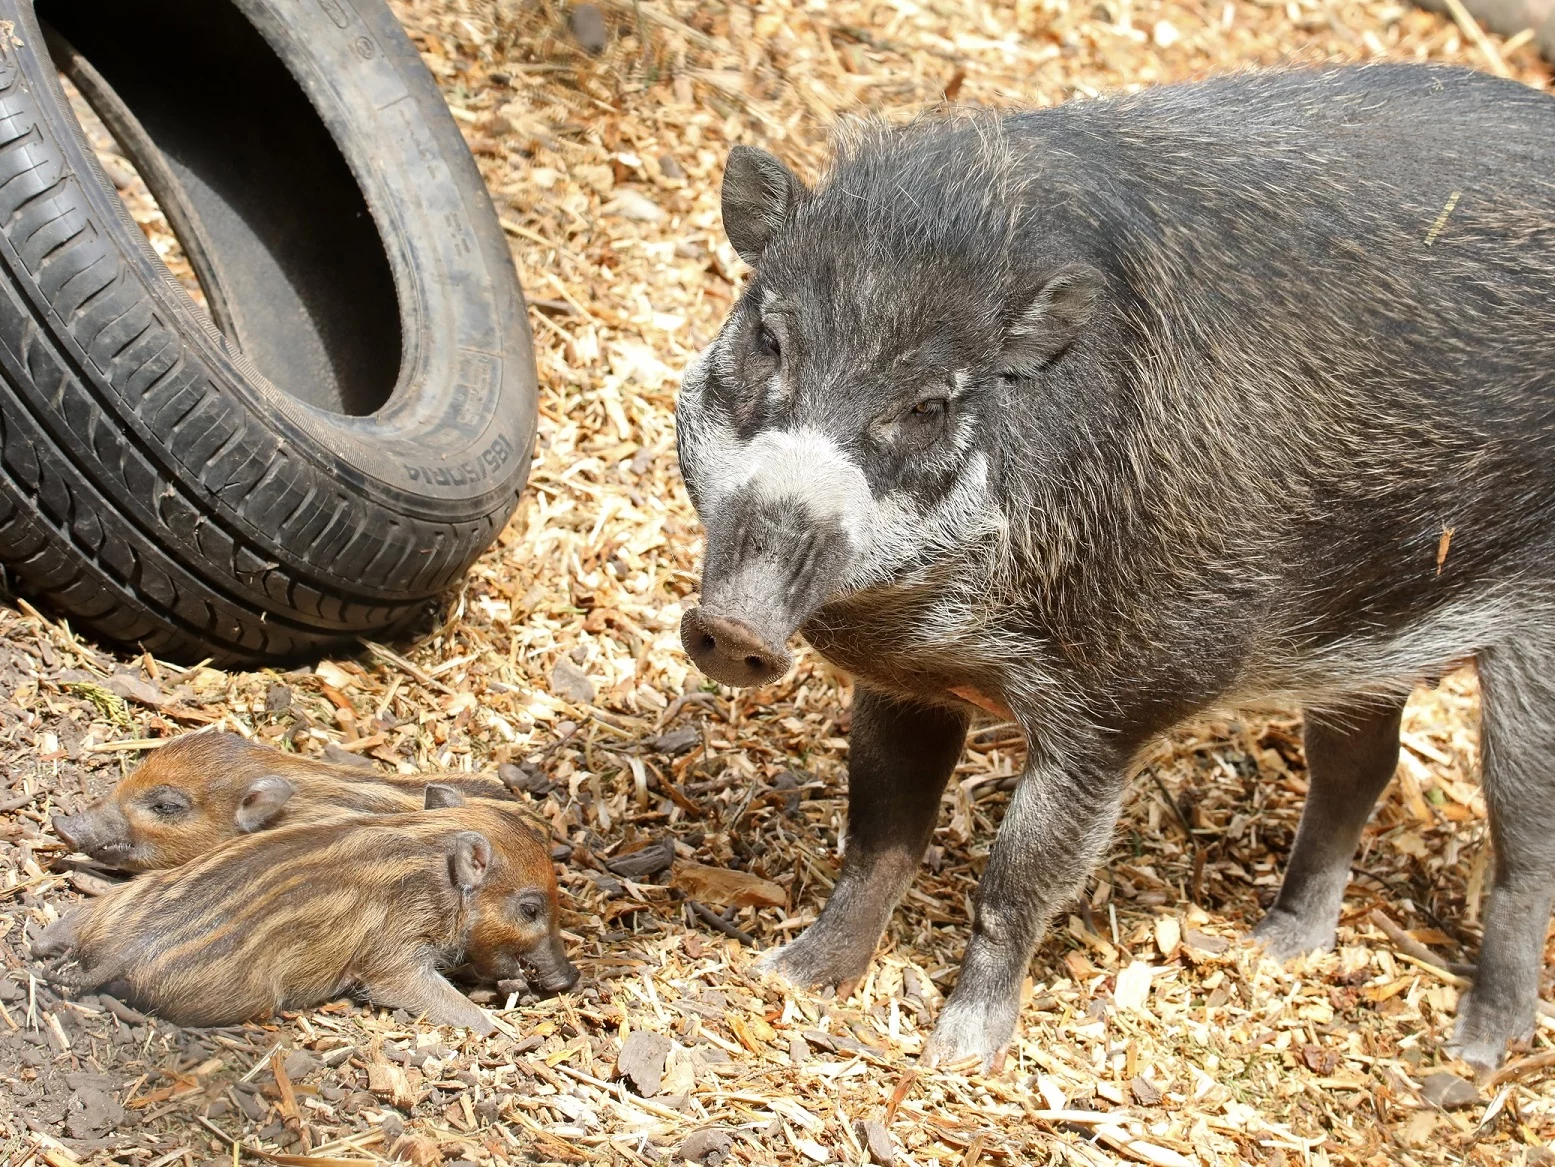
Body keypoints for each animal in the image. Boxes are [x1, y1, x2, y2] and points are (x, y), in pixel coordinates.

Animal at [674, 61, 1555, 1070]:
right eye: (768, 338)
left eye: (929, 404)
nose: (730, 628)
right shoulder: (907, 680)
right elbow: (878, 838)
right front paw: (790, 976)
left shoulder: (1117, 709)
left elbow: (1015, 880)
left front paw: (958, 1058)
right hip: (1359, 638)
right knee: (1360, 766)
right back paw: (1271, 948)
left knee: (1524, 846)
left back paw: (1472, 1054)